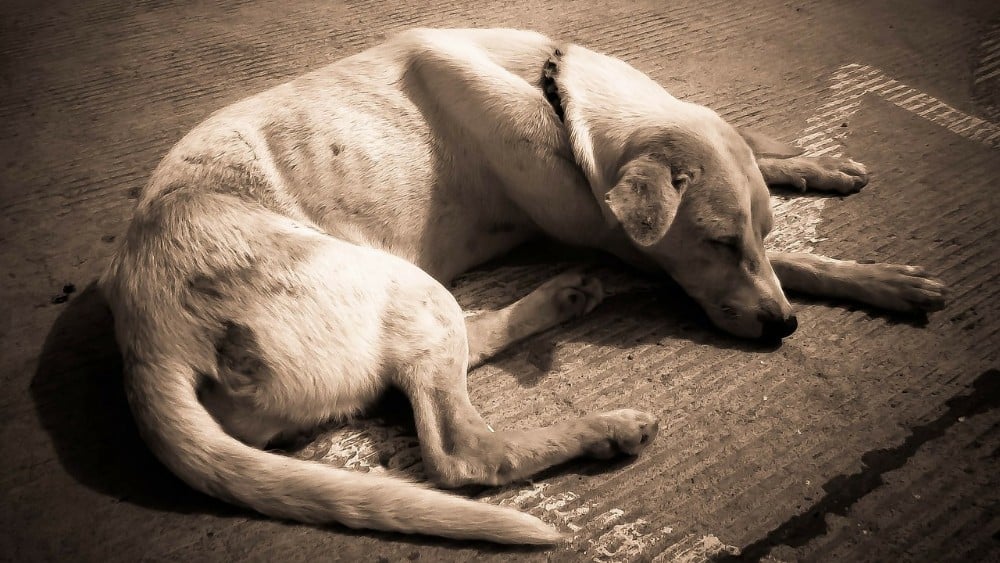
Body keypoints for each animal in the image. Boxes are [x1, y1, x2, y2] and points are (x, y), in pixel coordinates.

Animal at [99, 27, 944, 548]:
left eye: (757, 233)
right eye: (717, 242)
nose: (783, 328)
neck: (557, 96)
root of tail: (150, 344)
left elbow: (764, 160)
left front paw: (816, 167)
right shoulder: (629, 243)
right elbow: (788, 266)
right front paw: (872, 279)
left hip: (408, 300)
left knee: (438, 367)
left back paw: (560, 301)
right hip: (403, 285)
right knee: (466, 452)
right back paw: (604, 425)